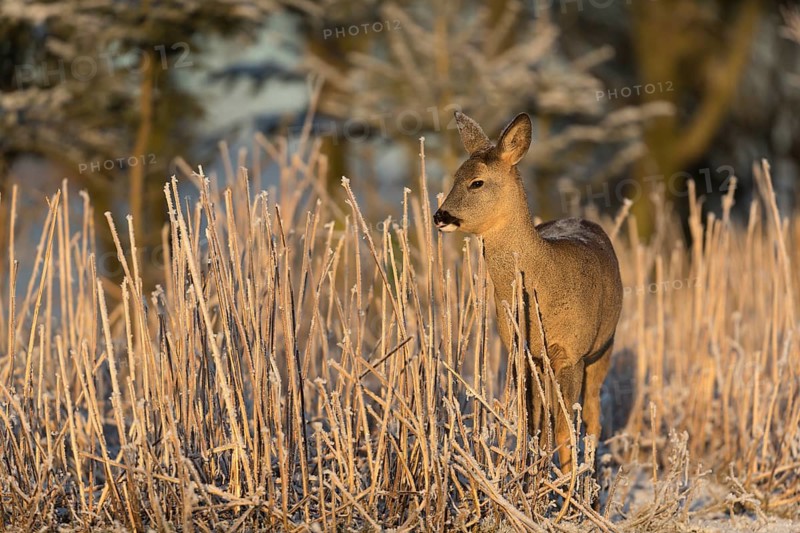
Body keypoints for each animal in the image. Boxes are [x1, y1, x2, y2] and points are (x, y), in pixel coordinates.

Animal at [434, 111, 623, 475]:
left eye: (476, 182)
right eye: (455, 178)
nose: (440, 216)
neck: (545, 280)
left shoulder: (572, 352)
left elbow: (565, 428)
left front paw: (566, 483)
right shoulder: (520, 350)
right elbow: (530, 422)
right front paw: (529, 473)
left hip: (603, 348)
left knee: (592, 416)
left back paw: (589, 472)